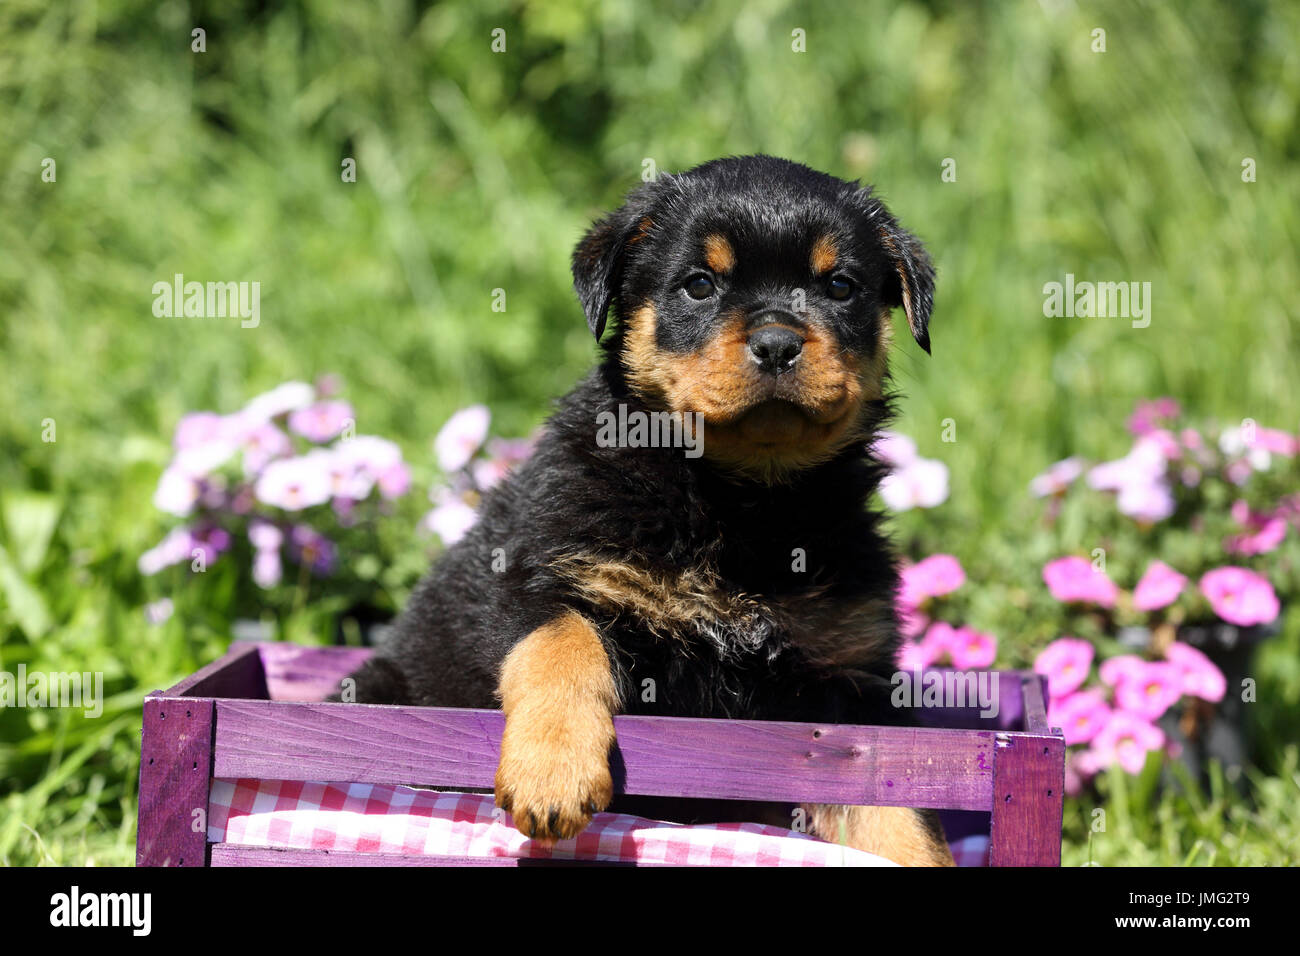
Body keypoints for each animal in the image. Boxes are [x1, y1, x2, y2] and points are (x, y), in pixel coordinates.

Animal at [343, 155, 956, 868]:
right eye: (698, 285)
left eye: (839, 286)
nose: (778, 342)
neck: (741, 500)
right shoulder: (540, 578)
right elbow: (561, 646)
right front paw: (553, 773)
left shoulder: (851, 683)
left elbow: (895, 811)